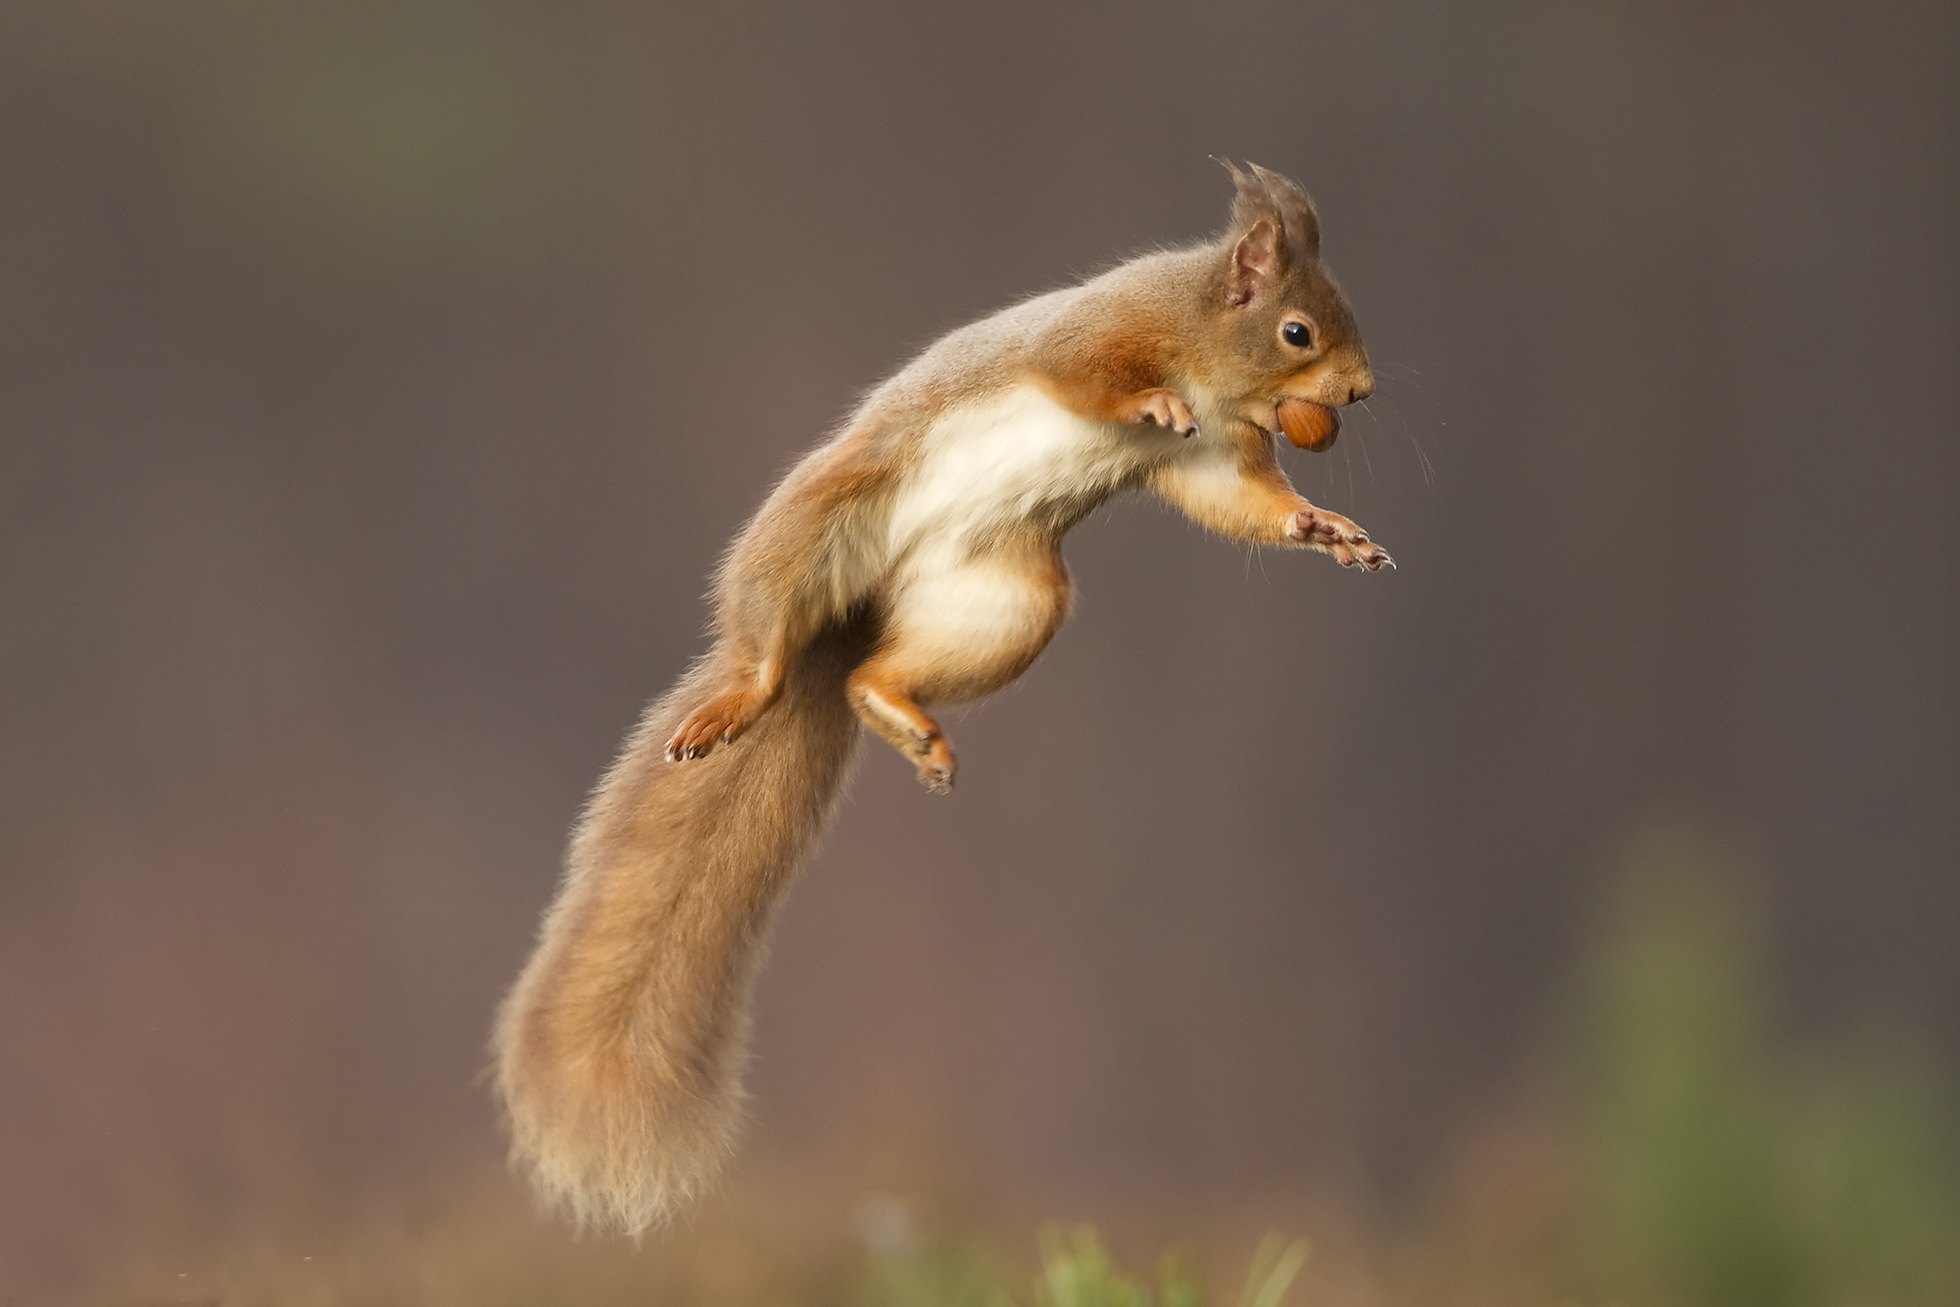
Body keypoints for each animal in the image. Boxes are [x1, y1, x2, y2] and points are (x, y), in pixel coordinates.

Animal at [497, 163, 1387, 1238]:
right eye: (1299, 331)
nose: (1363, 390)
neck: (1208, 348)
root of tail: (855, 616)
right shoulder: (1096, 335)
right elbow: (1087, 377)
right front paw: (1152, 399)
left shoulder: (1216, 457)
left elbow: (1247, 503)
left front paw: (1326, 527)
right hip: (812, 527)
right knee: (768, 646)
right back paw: (742, 697)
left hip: (1009, 603)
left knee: (865, 677)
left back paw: (903, 717)